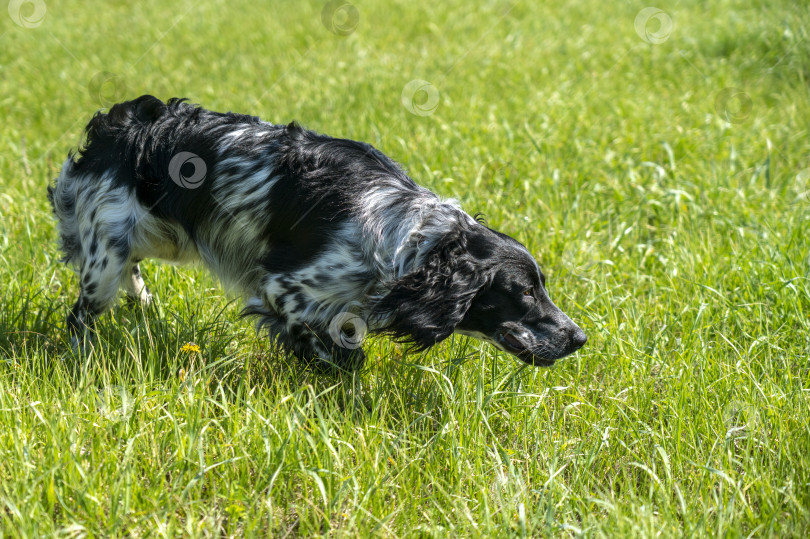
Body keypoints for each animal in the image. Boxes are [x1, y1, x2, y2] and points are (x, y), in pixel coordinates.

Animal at [47, 94, 584, 372]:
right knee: (81, 315)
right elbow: (338, 348)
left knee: (133, 280)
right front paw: (326, 366)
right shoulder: (284, 287)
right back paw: (82, 355)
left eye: (542, 286)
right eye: (522, 292)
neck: (412, 241)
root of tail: (119, 122)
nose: (579, 337)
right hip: (104, 258)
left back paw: (145, 311)